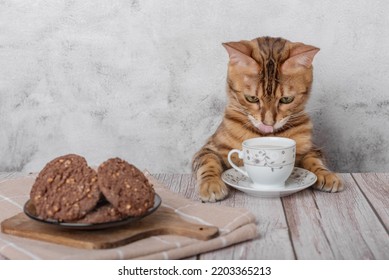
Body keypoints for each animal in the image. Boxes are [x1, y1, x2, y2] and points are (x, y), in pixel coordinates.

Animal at [192, 36, 342, 201]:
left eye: (286, 99)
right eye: (251, 98)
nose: (268, 123)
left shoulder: (311, 149)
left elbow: (315, 160)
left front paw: (326, 174)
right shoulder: (209, 148)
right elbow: (207, 162)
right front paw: (211, 184)